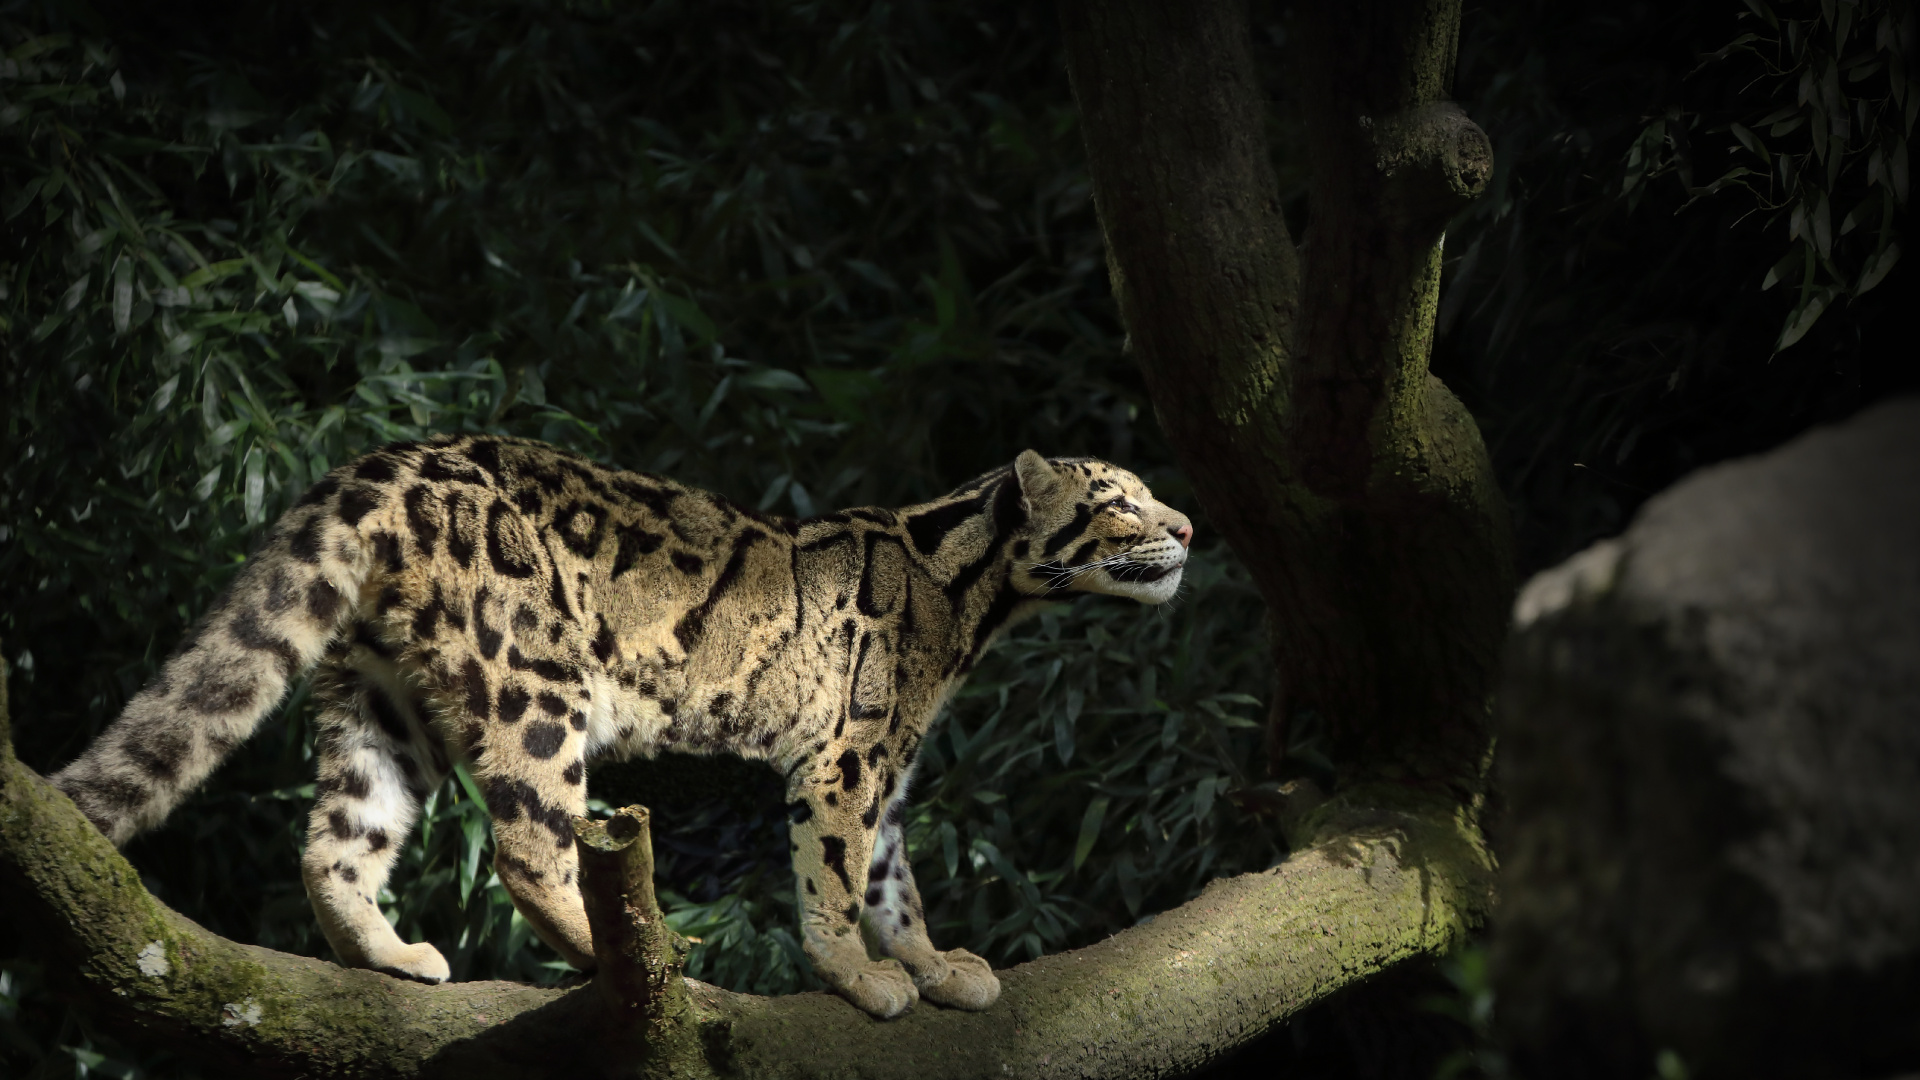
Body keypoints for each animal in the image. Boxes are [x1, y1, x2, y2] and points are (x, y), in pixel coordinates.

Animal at [51, 435, 1194, 1018]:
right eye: (1119, 503)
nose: (1186, 525)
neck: (974, 602)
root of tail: (389, 460)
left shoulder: (889, 770)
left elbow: (892, 883)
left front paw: (932, 964)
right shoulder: (847, 760)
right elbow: (834, 879)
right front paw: (861, 978)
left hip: (383, 696)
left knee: (337, 839)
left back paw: (389, 955)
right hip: (536, 687)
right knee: (526, 849)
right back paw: (638, 952)